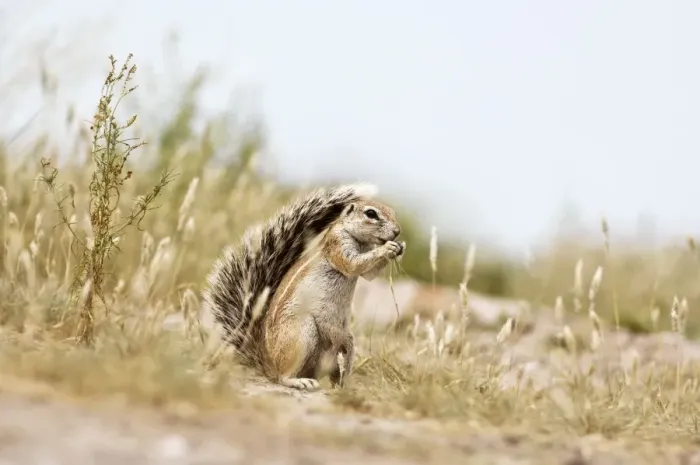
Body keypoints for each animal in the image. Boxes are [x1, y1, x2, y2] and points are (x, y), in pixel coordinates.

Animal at [201, 183, 405, 391]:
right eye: (371, 213)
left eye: (393, 212)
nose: (397, 231)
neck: (360, 240)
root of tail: (269, 364)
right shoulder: (338, 244)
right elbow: (353, 264)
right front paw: (387, 248)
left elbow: (369, 274)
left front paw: (399, 247)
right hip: (302, 331)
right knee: (284, 376)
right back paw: (299, 381)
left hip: (345, 342)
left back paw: (343, 387)